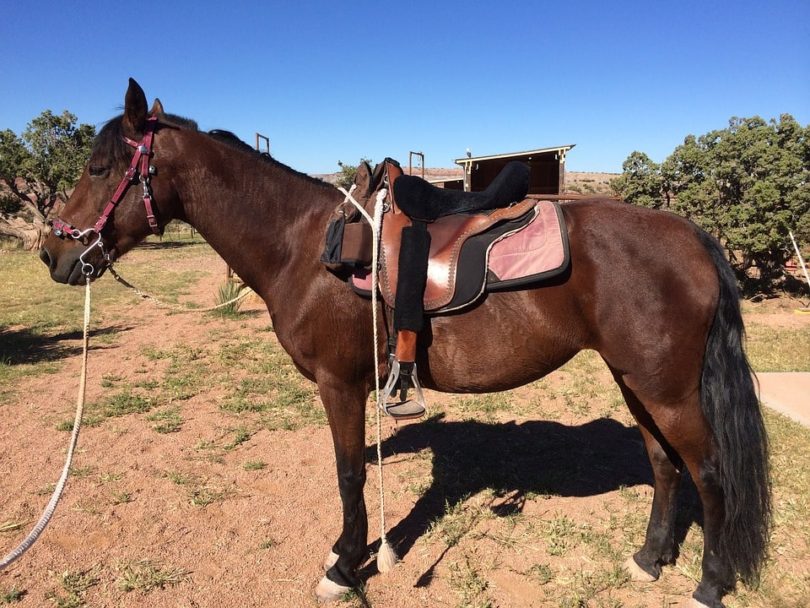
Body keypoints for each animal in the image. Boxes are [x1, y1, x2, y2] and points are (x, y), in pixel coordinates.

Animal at [40, 79, 770, 608]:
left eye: (99, 167)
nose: (53, 252)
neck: (303, 246)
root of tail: (692, 236)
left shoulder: (339, 385)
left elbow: (349, 472)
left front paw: (345, 565)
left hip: (666, 388)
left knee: (709, 474)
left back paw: (709, 584)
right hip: (635, 380)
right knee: (664, 464)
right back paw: (649, 560)